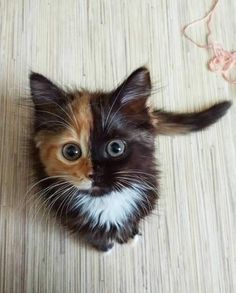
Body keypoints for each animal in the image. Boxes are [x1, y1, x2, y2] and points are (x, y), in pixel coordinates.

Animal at [29, 66, 230, 251]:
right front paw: (105, 247)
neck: (106, 201)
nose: (94, 174)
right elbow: (92, 235)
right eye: (71, 152)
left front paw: (130, 236)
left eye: (116, 148)